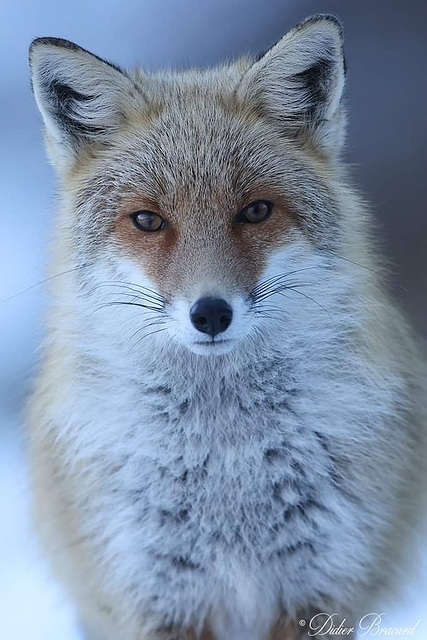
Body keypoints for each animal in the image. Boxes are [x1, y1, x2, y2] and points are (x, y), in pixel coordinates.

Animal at [27, 13, 427, 640]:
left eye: (256, 211)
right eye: (148, 220)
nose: (211, 313)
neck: (226, 460)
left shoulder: (320, 590)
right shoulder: (156, 596)